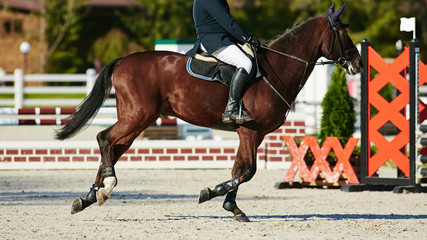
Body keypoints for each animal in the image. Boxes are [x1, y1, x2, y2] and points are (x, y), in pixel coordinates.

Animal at [55, 3, 362, 223]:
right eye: (342, 33)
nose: (358, 63)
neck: (277, 67)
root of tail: (123, 61)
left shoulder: (254, 134)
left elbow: (239, 169)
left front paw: (233, 207)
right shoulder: (250, 131)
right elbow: (247, 171)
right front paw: (210, 194)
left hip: (137, 120)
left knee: (113, 148)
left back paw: (90, 197)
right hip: (136, 116)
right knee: (105, 139)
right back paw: (106, 187)